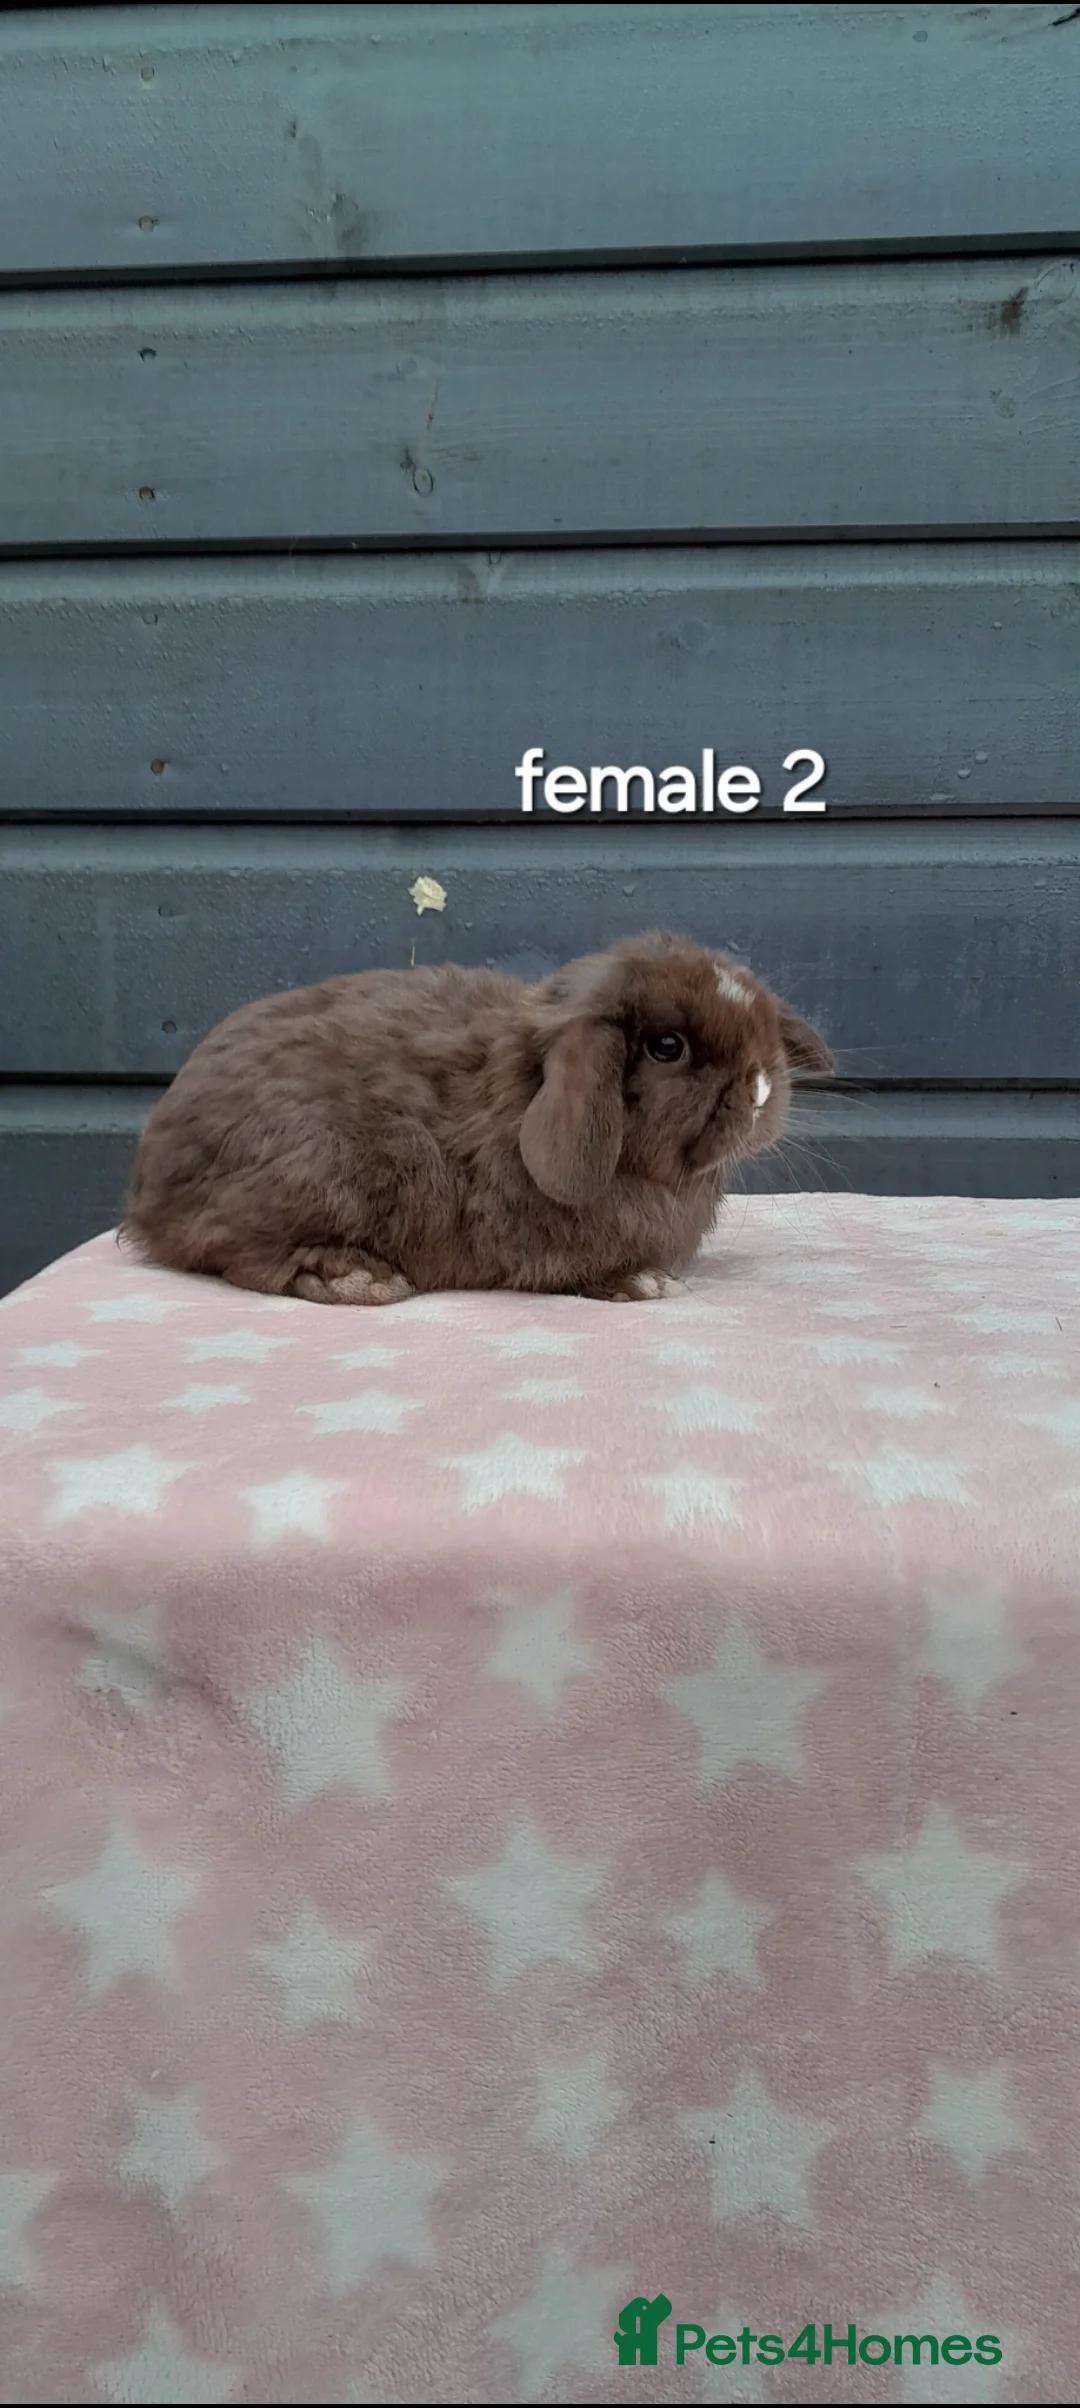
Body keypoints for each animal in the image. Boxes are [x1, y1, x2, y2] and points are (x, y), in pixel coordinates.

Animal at [123, 932, 833, 1305]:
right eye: (667, 1047)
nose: (762, 1088)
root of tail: (149, 1192)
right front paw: (647, 1282)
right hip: (314, 1171)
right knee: (233, 1252)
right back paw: (360, 1278)